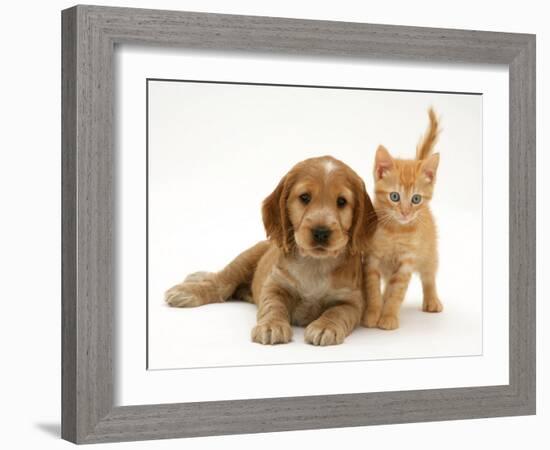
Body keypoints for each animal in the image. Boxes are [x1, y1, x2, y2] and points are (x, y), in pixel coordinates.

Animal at [166, 156, 378, 346]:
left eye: (341, 202)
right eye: (305, 197)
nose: (321, 232)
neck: (315, 263)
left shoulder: (352, 301)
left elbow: (337, 312)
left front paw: (325, 327)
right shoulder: (275, 284)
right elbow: (273, 305)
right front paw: (271, 326)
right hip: (246, 258)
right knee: (220, 283)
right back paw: (188, 290)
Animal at [364, 107, 446, 328]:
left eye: (416, 199)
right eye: (395, 196)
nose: (406, 212)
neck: (395, 230)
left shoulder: (406, 261)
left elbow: (397, 292)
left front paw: (389, 317)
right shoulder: (372, 259)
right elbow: (373, 289)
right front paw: (372, 314)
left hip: (429, 253)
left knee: (429, 276)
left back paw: (432, 300)